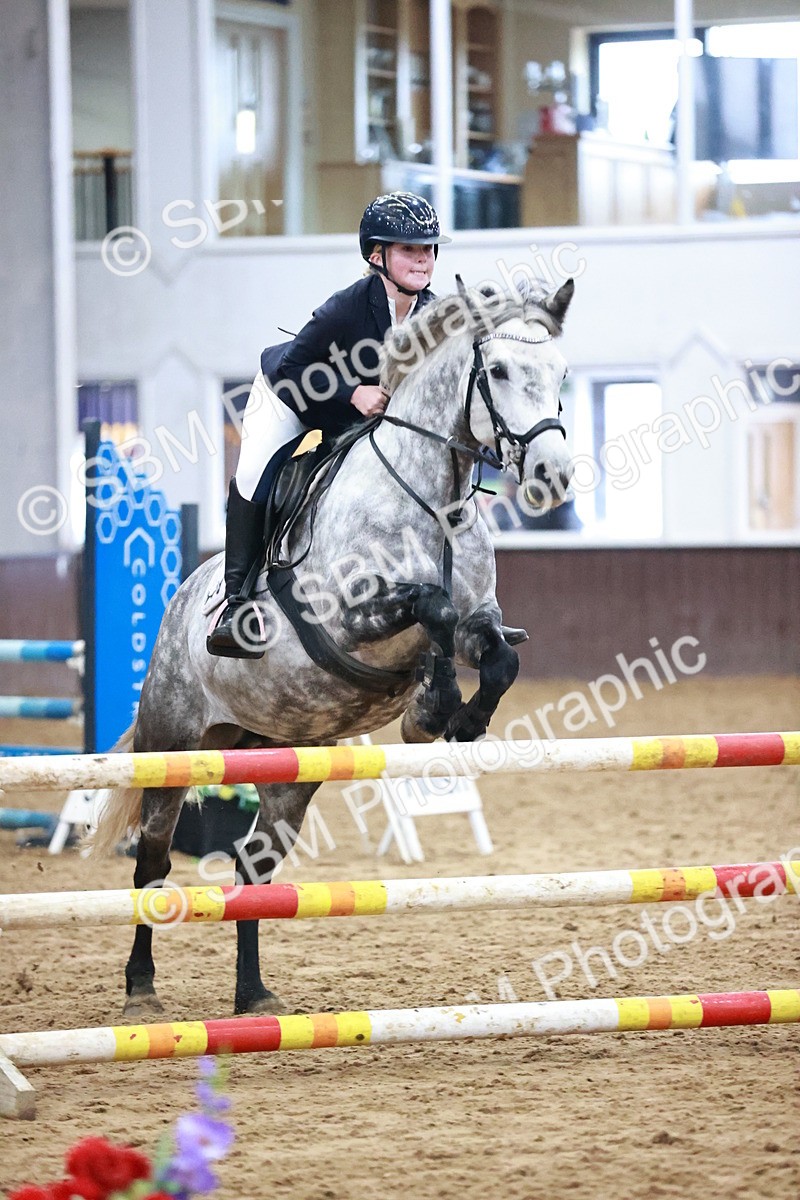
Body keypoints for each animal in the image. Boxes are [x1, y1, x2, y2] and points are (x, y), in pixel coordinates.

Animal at [94, 277, 575, 1018]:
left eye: (561, 373)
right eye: (495, 371)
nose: (553, 476)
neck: (432, 500)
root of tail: (179, 602)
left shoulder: (481, 617)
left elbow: (496, 653)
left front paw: (455, 717)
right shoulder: (346, 617)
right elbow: (430, 608)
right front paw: (434, 708)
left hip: (289, 762)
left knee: (254, 864)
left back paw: (253, 994)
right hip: (171, 743)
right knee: (152, 856)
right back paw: (141, 989)